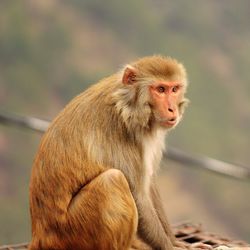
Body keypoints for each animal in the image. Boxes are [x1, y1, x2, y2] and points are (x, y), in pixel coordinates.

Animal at [28, 55, 189, 250]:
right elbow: (139, 196)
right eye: (160, 89)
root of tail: (40, 235)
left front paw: (174, 241)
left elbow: (149, 185)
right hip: (71, 232)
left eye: (174, 89)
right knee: (113, 180)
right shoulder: (119, 130)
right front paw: (169, 246)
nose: (172, 109)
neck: (127, 104)